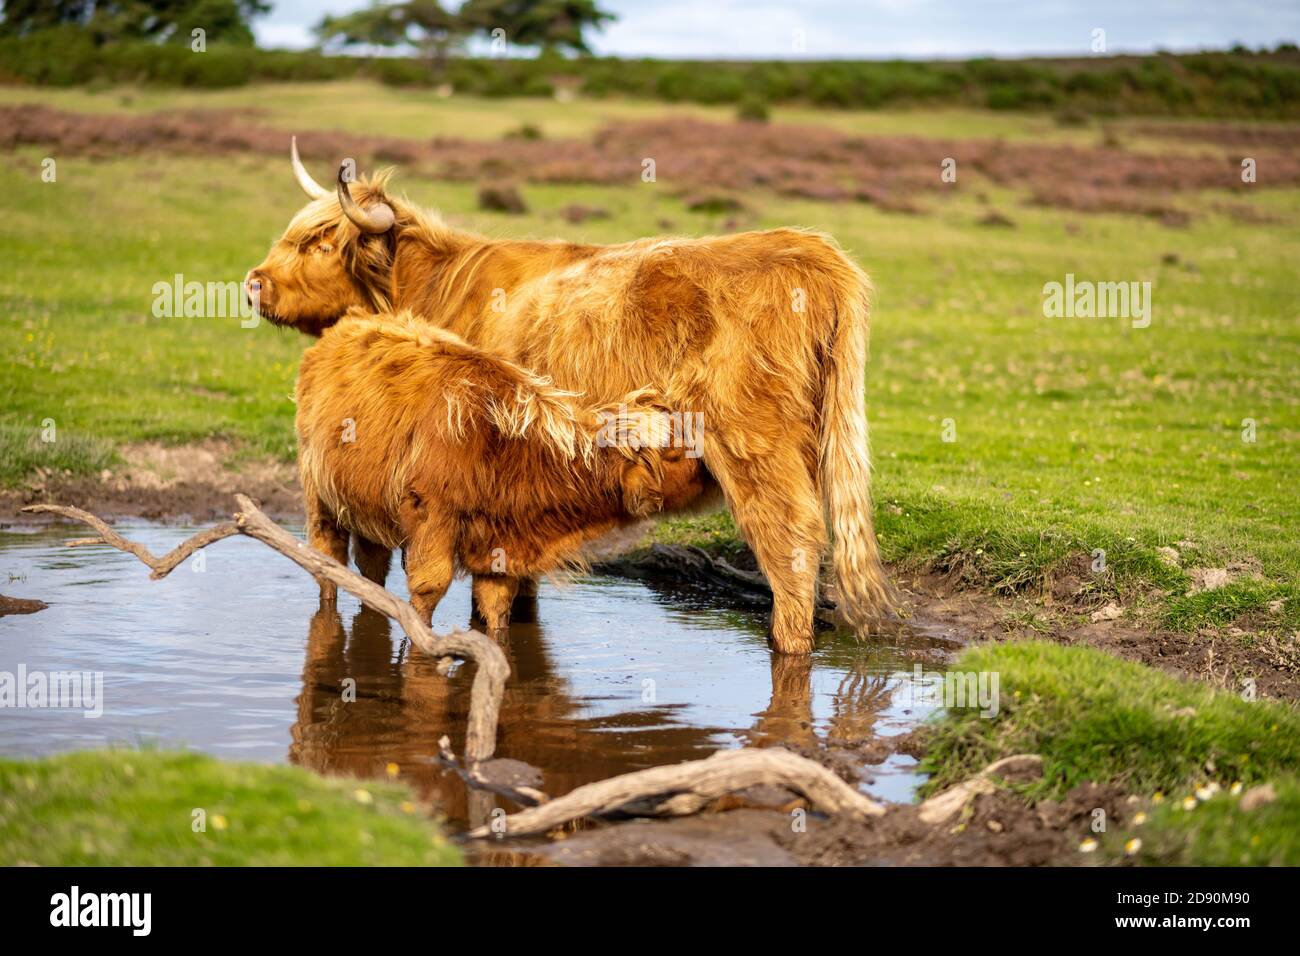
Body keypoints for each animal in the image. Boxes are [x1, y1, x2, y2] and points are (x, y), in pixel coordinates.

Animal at [296, 308, 704, 631]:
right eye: (674, 453)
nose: (709, 473)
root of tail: (354, 319)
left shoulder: (501, 550)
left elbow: (496, 612)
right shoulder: (431, 516)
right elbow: (428, 591)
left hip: (367, 503)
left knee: (372, 566)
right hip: (319, 496)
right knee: (328, 560)